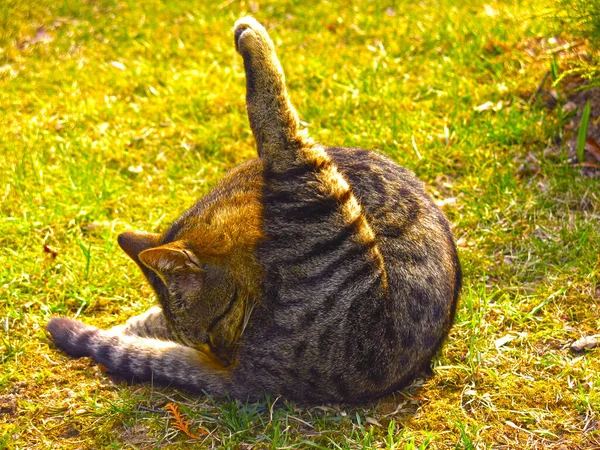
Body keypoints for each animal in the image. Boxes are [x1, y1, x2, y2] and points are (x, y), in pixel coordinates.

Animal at [47, 16, 462, 404]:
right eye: (204, 338)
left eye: (212, 329)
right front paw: (252, 37)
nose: (222, 356)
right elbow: (271, 107)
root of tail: (253, 376)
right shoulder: (301, 165)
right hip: (328, 205)